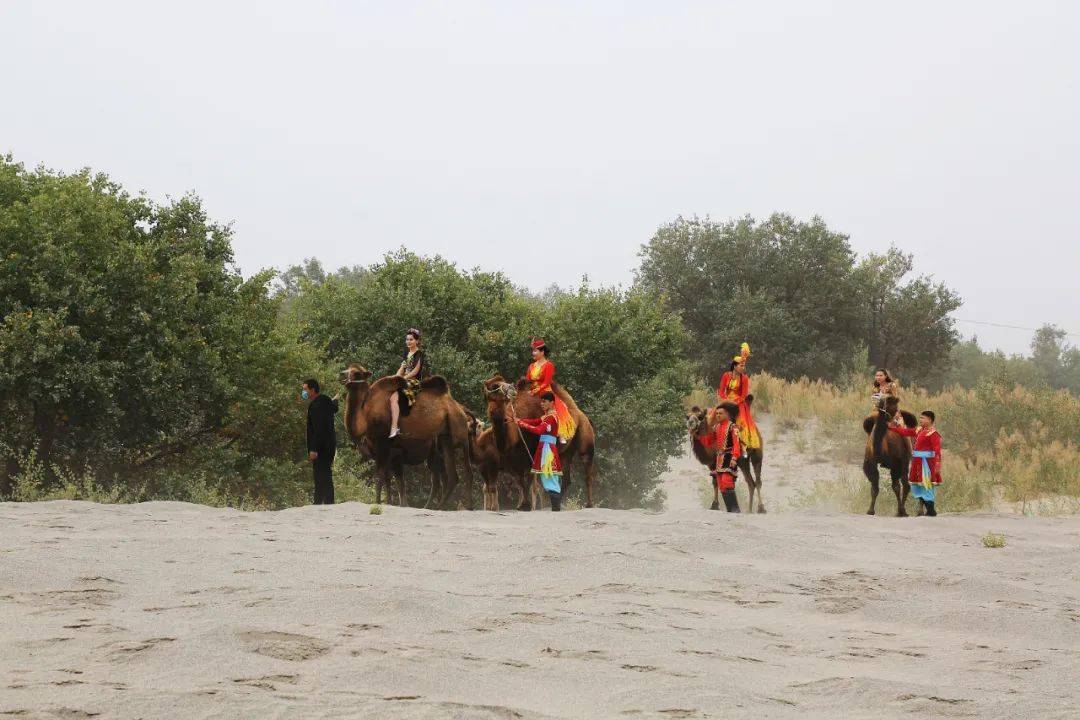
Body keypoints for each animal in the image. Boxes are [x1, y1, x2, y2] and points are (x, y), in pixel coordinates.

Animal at [336, 362, 473, 509]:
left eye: (356, 373)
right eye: (347, 369)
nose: (341, 374)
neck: (368, 417)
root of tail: (459, 408)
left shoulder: (386, 446)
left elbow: (382, 477)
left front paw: (378, 502)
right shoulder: (385, 452)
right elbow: (389, 479)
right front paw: (389, 502)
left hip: (459, 435)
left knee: (463, 472)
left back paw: (457, 506)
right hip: (443, 441)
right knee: (448, 477)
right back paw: (438, 506)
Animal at [483, 375, 600, 509]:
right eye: (494, 385)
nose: (510, 388)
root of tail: (584, 416)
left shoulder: (531, 451)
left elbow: (528, 479)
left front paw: (526, 505)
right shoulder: (513, 458)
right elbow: (520, 480)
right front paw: (522, 505)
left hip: (586, 437)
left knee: (587, 470)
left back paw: (589, 504)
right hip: (566, 451)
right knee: (566, 478)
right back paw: (556, 502)